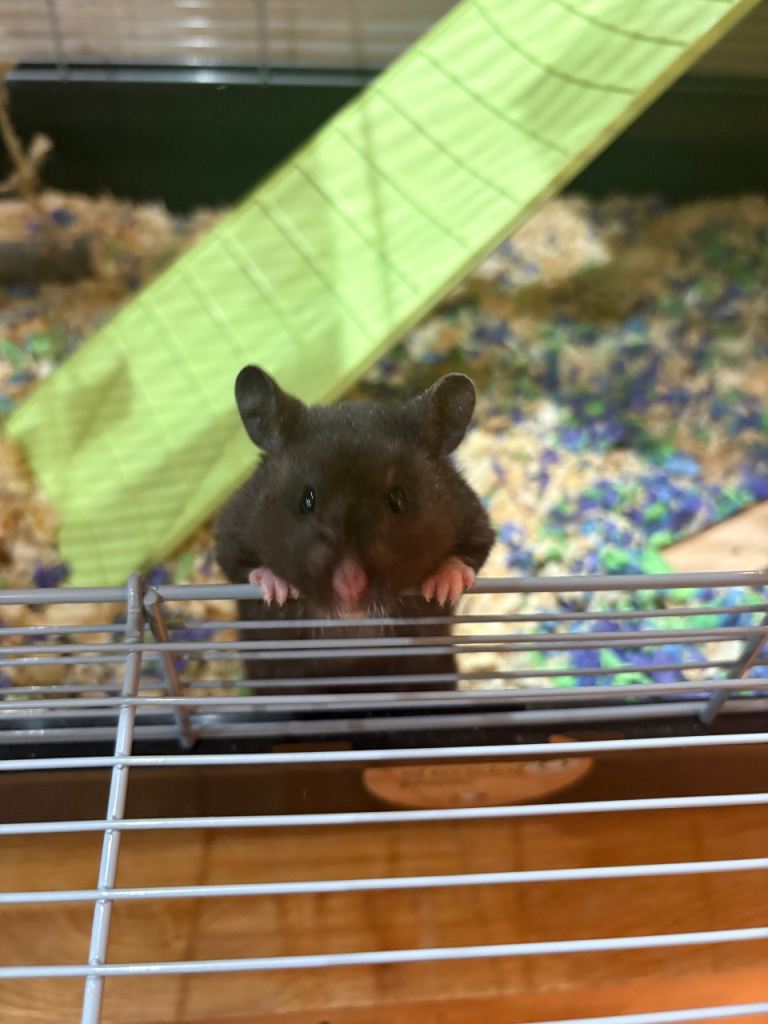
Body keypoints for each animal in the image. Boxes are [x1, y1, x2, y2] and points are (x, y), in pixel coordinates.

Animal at [214, 366, 495, 693]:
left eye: (398, 499)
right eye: (306, 500)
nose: (350, 588)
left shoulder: (472, 517)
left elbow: (470, 552)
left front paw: (442, 588)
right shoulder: (232, 527)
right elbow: (240, 564)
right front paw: (277, 590)